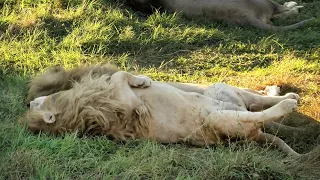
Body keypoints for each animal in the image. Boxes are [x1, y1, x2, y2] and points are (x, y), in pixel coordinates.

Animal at [19, 64, 308, 158]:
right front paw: (141, 80)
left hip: (220, 89)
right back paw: (288, 103)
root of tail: (255, 136)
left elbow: (120, 74)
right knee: (258, 113)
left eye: (34, 105)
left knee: (256, 100)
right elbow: (119, 76)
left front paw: (142, 80)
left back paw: (283, 93)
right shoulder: (127, 104)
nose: (27, 103)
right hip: (221, 118)